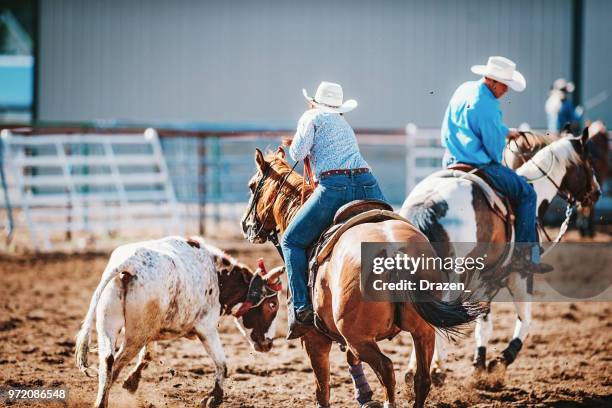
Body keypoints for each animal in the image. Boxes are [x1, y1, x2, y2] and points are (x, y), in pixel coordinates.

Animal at [241, 149, 486, 408]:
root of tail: (395, 254)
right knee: (421, 378)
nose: (246, 225)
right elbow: (350, 360)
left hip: (360, 338)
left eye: (252, 186)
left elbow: (322, 388)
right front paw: (365, 397)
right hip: (422, 330)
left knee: (387, 368)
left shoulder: (314, 339)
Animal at [400, 129, 600, 380]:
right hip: (453, 278)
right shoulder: (519, 275)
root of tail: (426, 204)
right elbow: (525, 320)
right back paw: (434, 369)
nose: (597, 192)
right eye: (589, 162)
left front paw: (479, 364)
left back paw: (415, 370)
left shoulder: (485, 281)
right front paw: (500, 361)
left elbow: (483, 324)